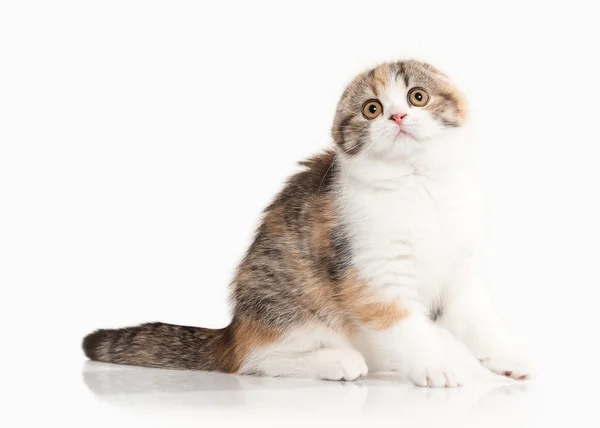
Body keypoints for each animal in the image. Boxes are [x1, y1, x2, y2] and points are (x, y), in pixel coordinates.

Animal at [83, 61, 536, 388]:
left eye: (417, 96)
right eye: (372, 108)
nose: (398, 116)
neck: (419, 185)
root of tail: (233, 329)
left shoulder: (458, 276)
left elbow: (479, 321)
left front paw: (506, 359)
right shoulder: (372, 279)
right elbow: (406, 326)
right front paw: (435, 366)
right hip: (287, 304)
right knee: (253, 360)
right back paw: (338, 361)